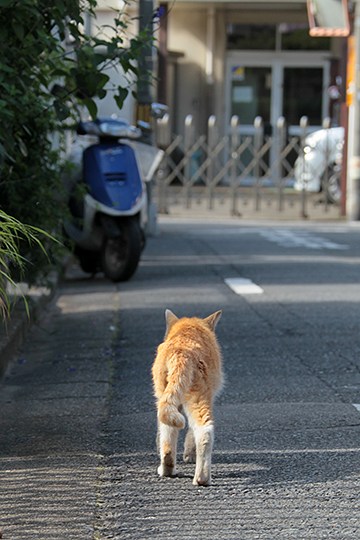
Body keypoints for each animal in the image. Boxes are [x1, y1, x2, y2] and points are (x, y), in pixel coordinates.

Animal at [151, 310, 222, 488]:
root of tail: (181, 352)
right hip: (195, 398)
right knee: (201, 431)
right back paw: (198, 477)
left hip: (178, 397)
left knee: (175, 433)